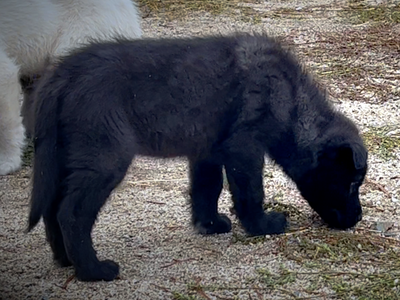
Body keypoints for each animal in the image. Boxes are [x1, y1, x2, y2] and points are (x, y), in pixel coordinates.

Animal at [26, 32, 368, 282]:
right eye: (352, 184)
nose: (358, 218)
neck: (290, 100)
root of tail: (62, 75)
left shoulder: (207, 151)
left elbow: (207, 189)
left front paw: (209, 224)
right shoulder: (245, 147)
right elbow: (251, 192)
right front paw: (261, 226)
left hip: (63, 157)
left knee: (53, 208)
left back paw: (65, 260)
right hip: (104, 158)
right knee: (72, 212)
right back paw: (92, 271)